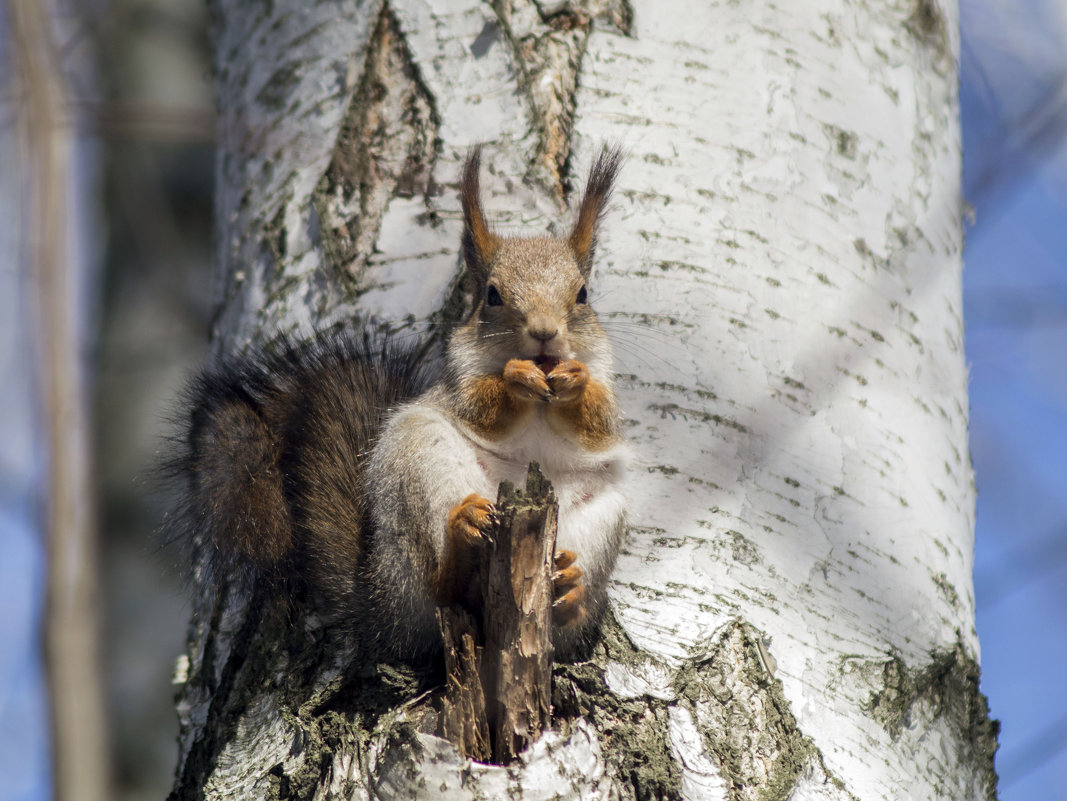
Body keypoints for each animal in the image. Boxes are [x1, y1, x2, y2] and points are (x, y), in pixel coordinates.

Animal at [170, 147, 627, 661]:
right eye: (492, 295)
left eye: (582, 294)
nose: (546, 333)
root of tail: (381, 600)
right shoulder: (459, 382)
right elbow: (483, 408)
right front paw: (515, 377)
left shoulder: (608, 396)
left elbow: (598, 423)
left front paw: (575, 381)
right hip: (417, 468)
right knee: (439, 590)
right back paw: (459, 544)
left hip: (603, 515)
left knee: (560, 612)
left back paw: (568, 591)